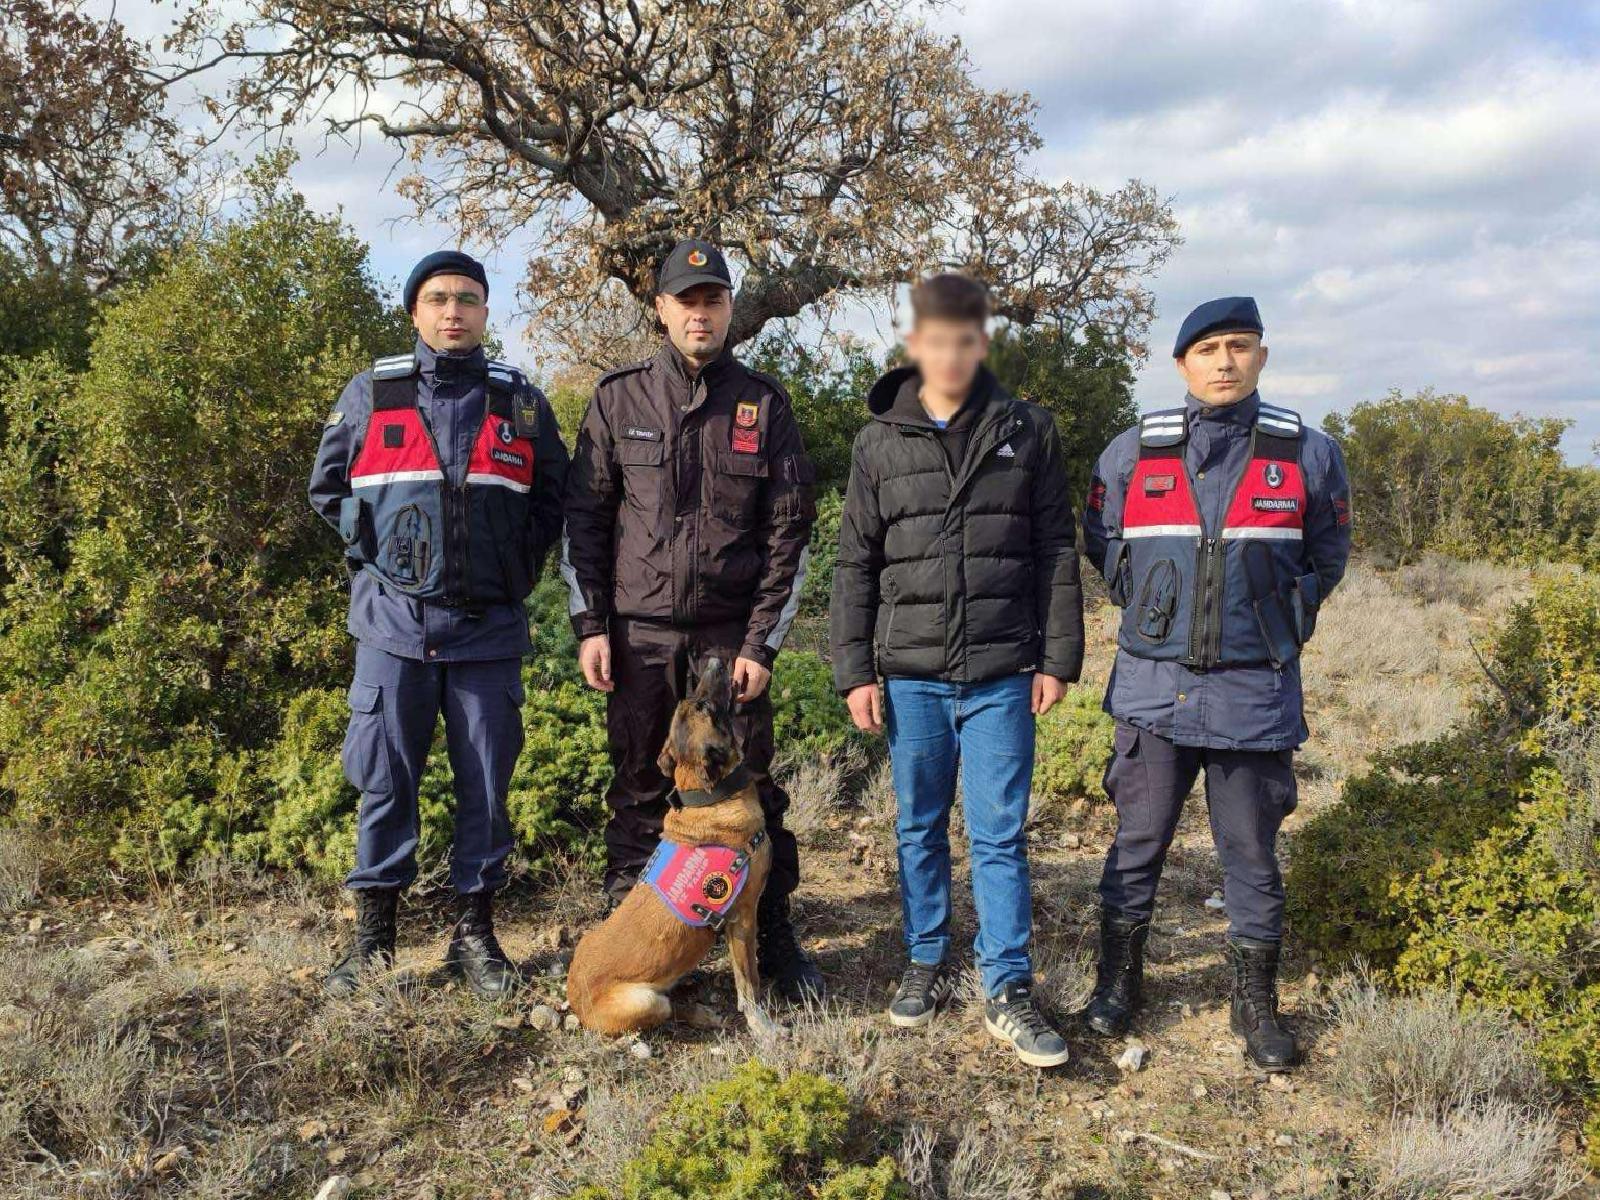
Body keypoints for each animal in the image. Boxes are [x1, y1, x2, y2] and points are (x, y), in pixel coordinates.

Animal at [566, 662, 777, 1036]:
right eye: (705, 707)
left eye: (692, 703)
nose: (714, 662)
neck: (710, 797)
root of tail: (575, 999)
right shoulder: (743, 918)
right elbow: (749, 983)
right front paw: (762, 1026)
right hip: (647, 1000)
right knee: (671, 1010)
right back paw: (703, 1014)